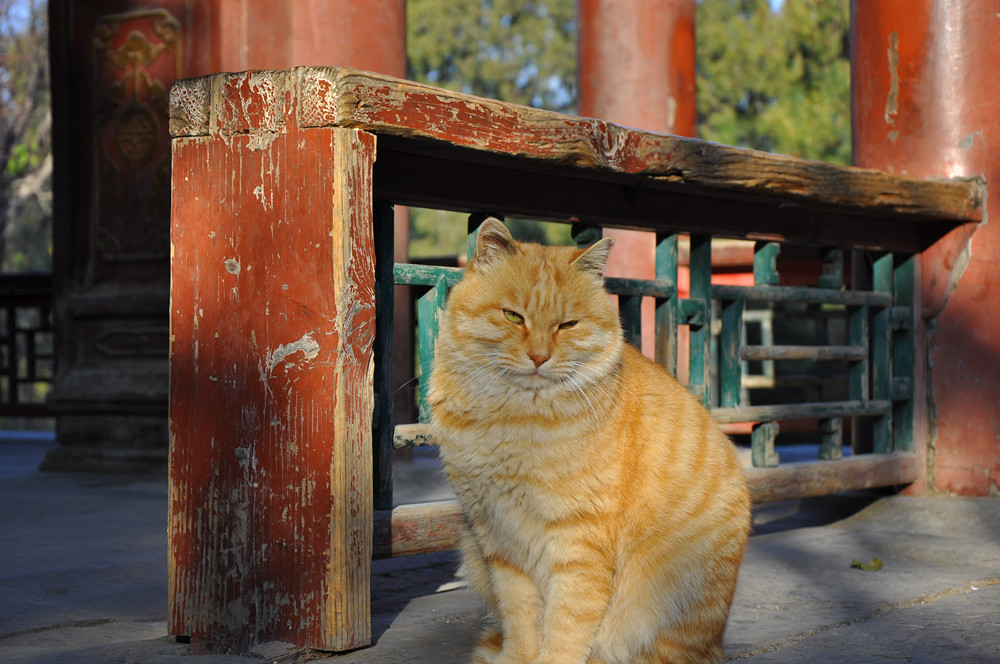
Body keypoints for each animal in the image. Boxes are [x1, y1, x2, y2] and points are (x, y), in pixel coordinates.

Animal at [430, 220, 752, 660]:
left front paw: (551, 657)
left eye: (567, 325)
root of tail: (716, 643)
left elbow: (568, 620)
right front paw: (517, 656)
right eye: (513, 316)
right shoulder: (497, 539)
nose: (539, 357)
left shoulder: (578, 538)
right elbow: (520, 615)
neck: (516, 416)